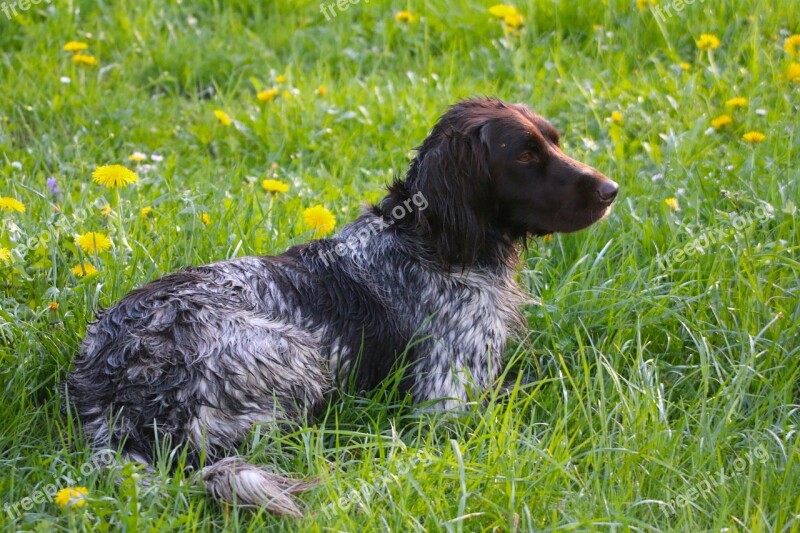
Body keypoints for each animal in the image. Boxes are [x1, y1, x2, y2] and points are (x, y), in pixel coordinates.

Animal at [67, 96, 620, 516]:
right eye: (524, 156)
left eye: (554, 141)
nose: (612, 189)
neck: (427, 240)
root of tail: (107, 391)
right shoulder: (446, 403)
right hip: (296, 355)